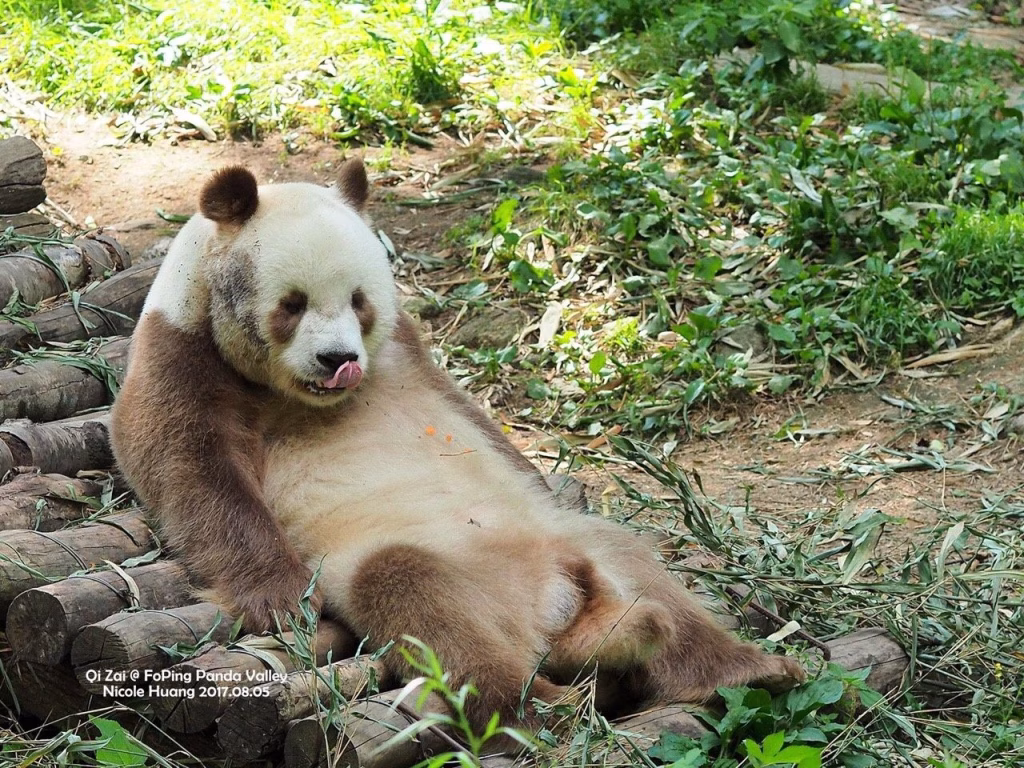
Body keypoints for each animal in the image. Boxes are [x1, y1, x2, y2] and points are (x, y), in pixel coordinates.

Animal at [110, 159, 804, 739]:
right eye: (292, 305)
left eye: (360, 301)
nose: (339, 360)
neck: (308, 397)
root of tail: (551, 609)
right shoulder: (183, 352)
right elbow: (189, 465)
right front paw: (281, 598)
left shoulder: (407, 354)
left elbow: (481, 424)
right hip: (438, 570)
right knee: (424, 603)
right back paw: (537, 704)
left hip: (572, 544)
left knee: (639, 570)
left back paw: (748, 668)